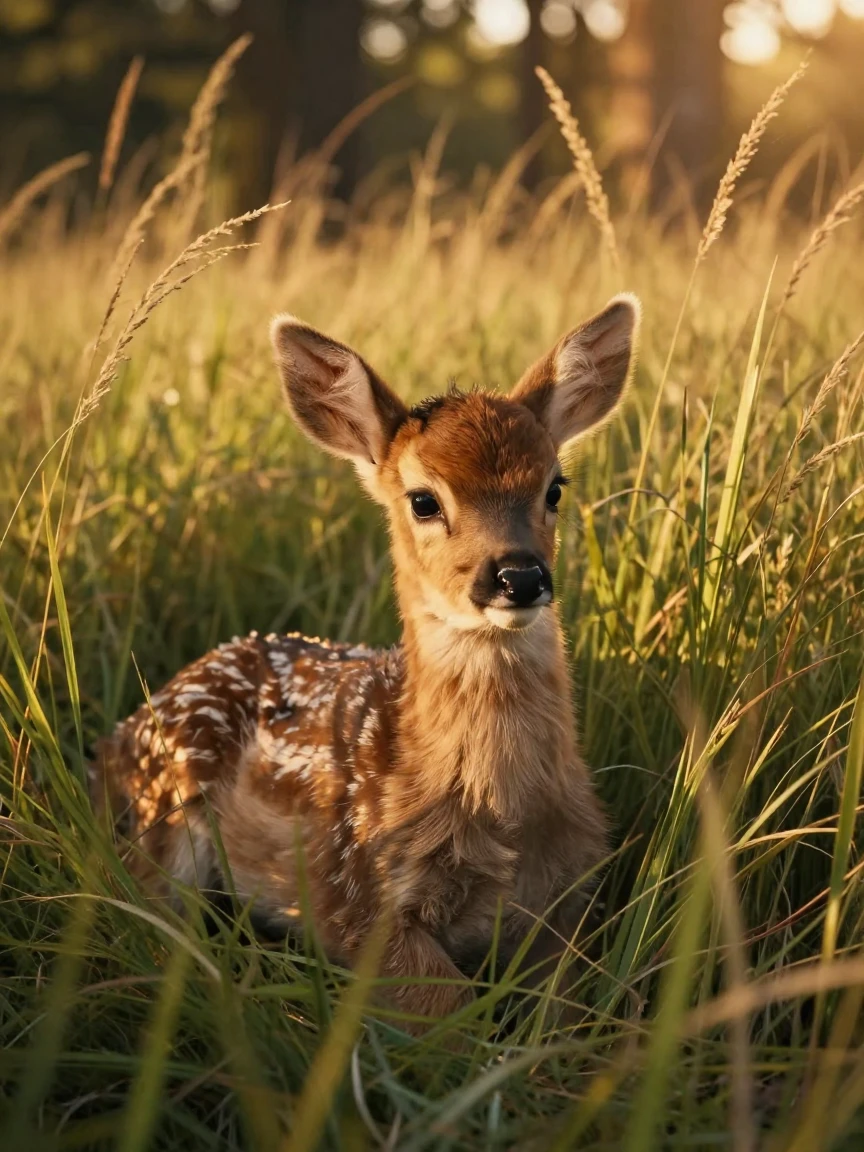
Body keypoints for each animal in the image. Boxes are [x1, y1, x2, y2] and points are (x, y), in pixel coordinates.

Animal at [92, 293, 640, 1028]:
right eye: (424, 499)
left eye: (555, 486)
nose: (519, 576)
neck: (501, 815)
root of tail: (120, 735)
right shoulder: (363, 900)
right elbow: (449, 1013)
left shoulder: (571, 891)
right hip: (169, 806)